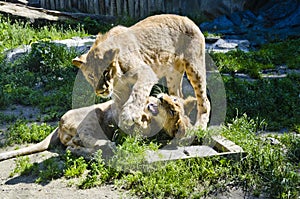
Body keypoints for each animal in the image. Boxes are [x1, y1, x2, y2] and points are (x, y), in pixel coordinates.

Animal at [0, 94, 195, 161]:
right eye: (173, 99)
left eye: (172, 111)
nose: (161, 98)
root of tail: (59, 125)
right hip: (91, 114)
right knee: (75, 145)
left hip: (88, 121)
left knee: (79, 143)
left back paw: (106, 146)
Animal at [71, 14, 210, 131]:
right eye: (91, 76)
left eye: (105, 72)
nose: (101, 91)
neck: (117, 78)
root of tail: (187, 19)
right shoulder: (121, 88)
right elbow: (121, 104)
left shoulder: (146, 72)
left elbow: (137, 92)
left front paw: (129, 115)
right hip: (173, 75)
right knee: (178, 95)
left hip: (194, 66)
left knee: (205, 101)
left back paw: (199, 127)